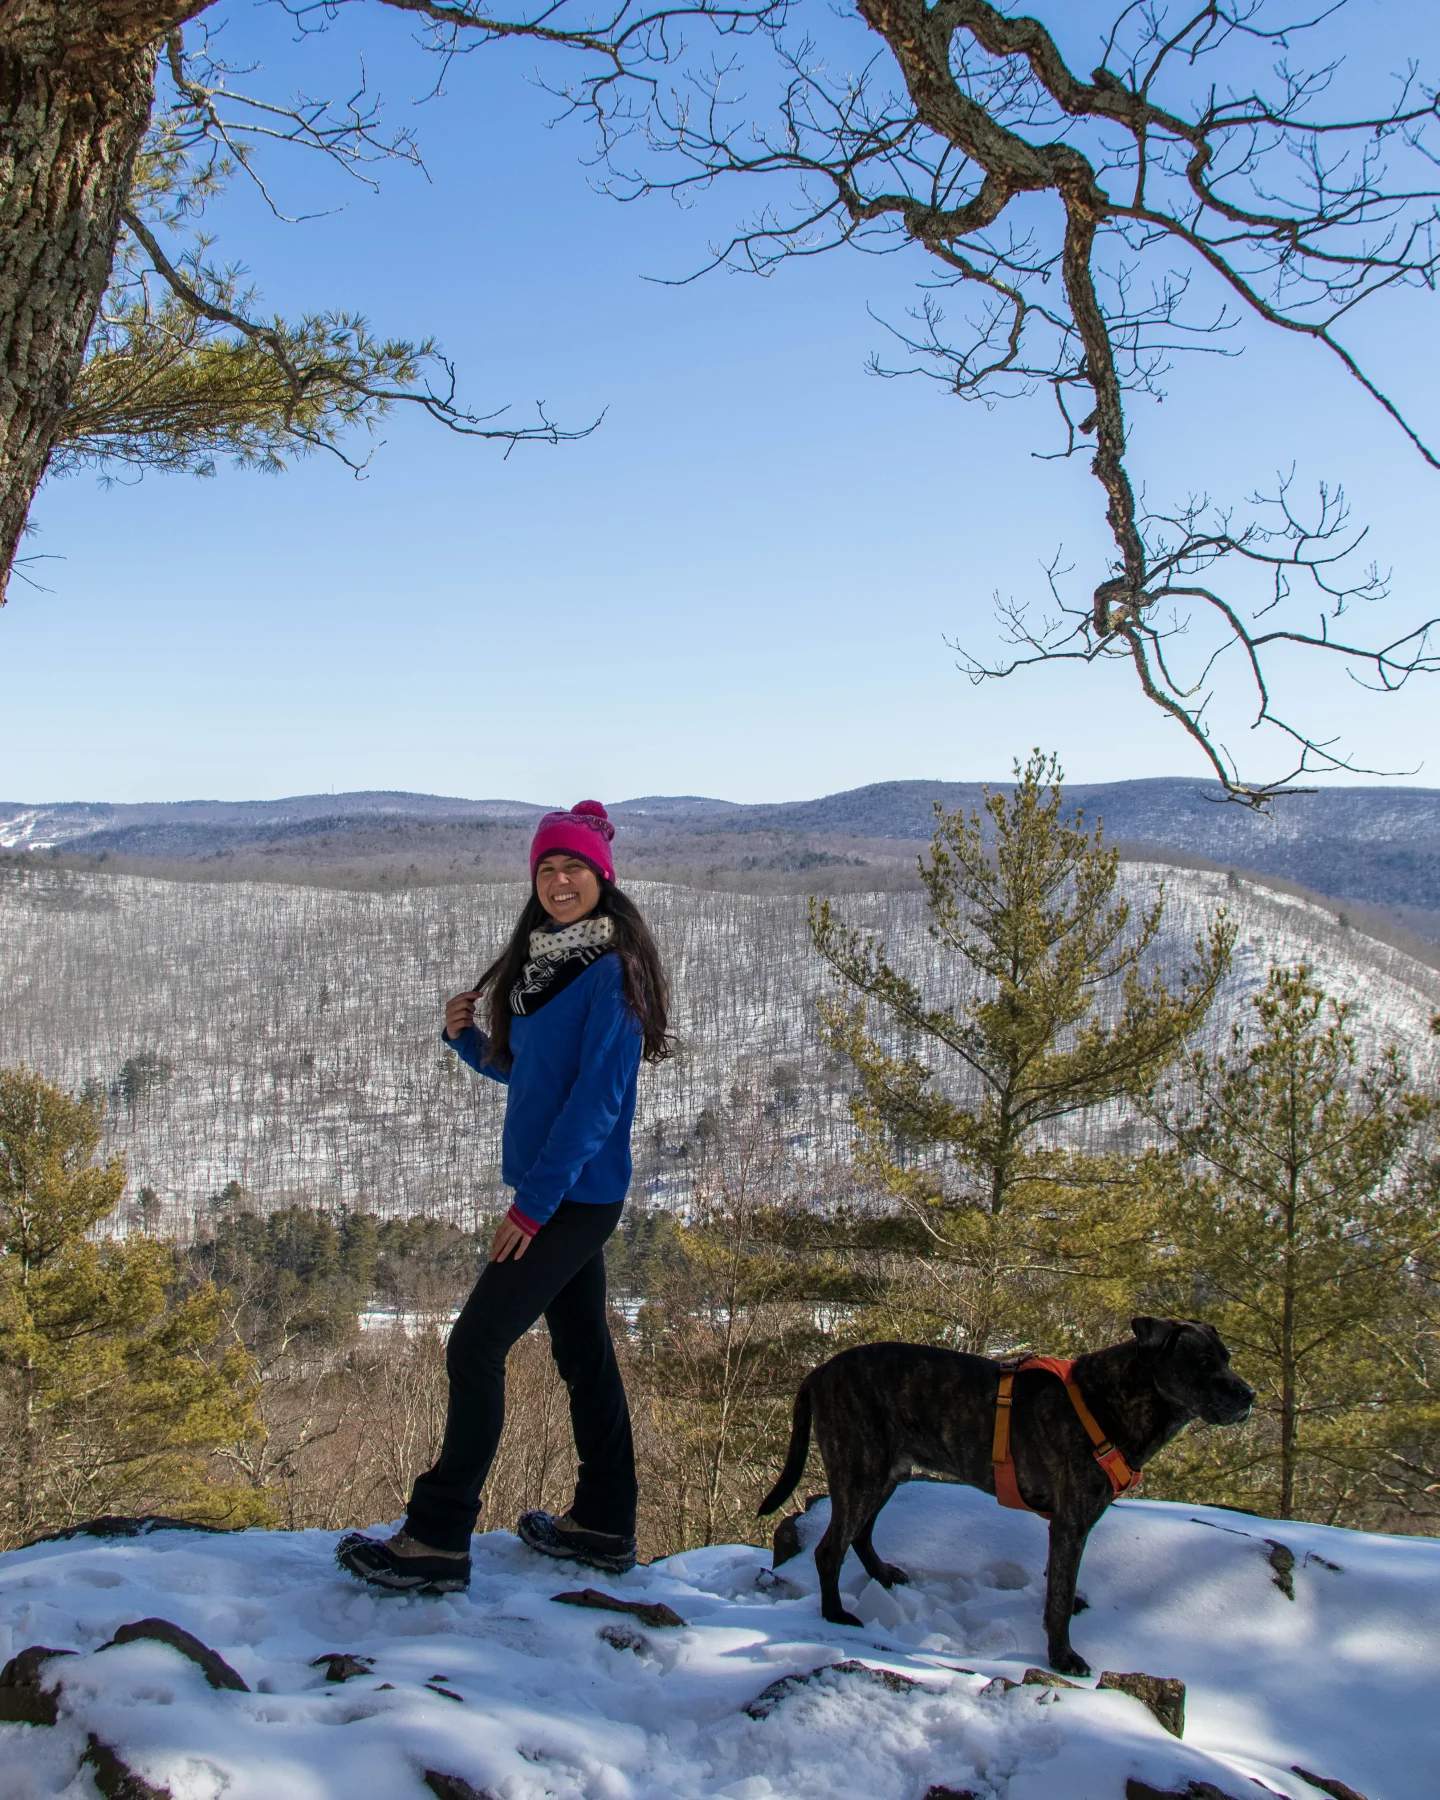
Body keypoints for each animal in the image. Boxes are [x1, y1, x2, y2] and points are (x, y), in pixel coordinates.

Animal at [759, 1310, 1252, 1670]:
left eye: (1227, 1357)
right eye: (1202, 1363)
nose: (1249, 1395)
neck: (1111, 1401)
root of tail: (820, 1371)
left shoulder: (1070, 1525)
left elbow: (1060, 1582)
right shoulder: (1072, 1522)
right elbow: (1058, 1599)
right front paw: (1062, 1657)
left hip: (885, 1474)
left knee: (860, 1535)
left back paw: (883, 1576)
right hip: (860, 1469)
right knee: (830, 1550)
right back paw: (836, 1615)